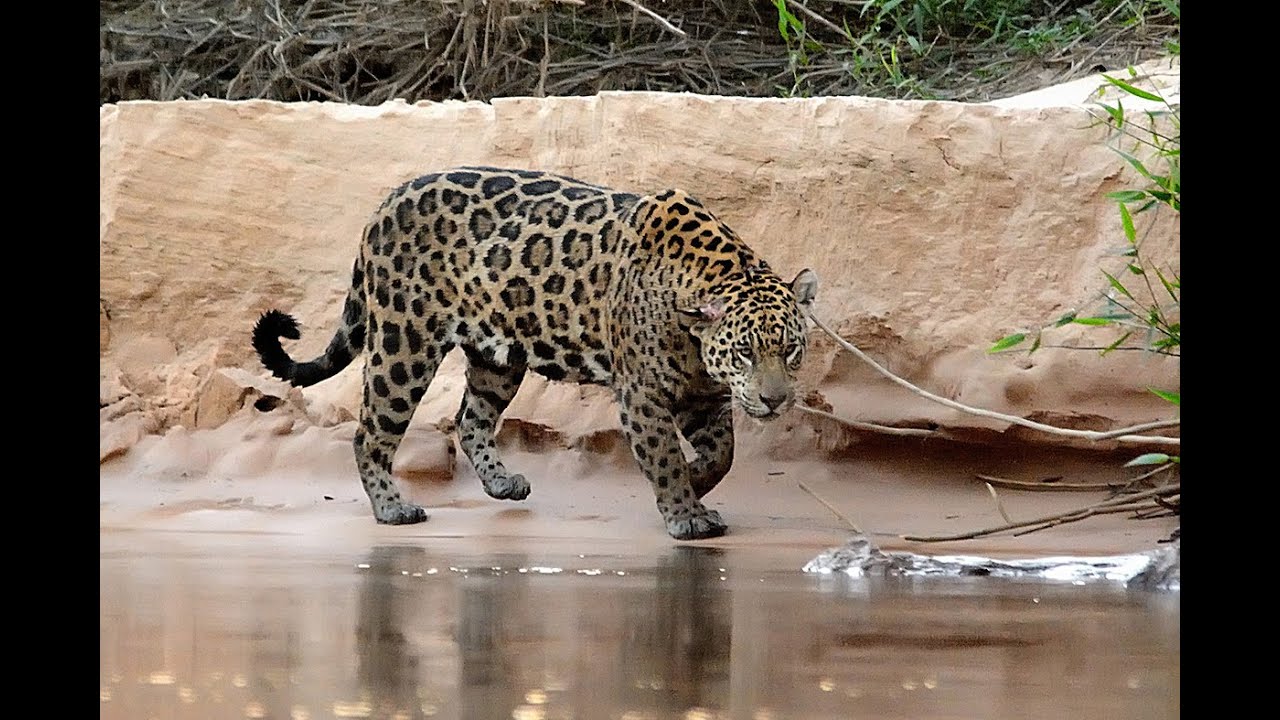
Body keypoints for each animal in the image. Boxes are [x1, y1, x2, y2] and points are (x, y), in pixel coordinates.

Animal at [251, 167, 817, 540]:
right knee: (371, 431)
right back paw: (393, 509)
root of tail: (385, 202)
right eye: (744, 353)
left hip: (497, 356)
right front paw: (687, 512)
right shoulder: (643, 394)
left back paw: (503, 484)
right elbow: (663, 454)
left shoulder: (705, 397)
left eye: (790, 350)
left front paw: (698, 478)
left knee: (470, 418)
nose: (775, 401)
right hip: (404, 343)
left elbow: (723, 455)